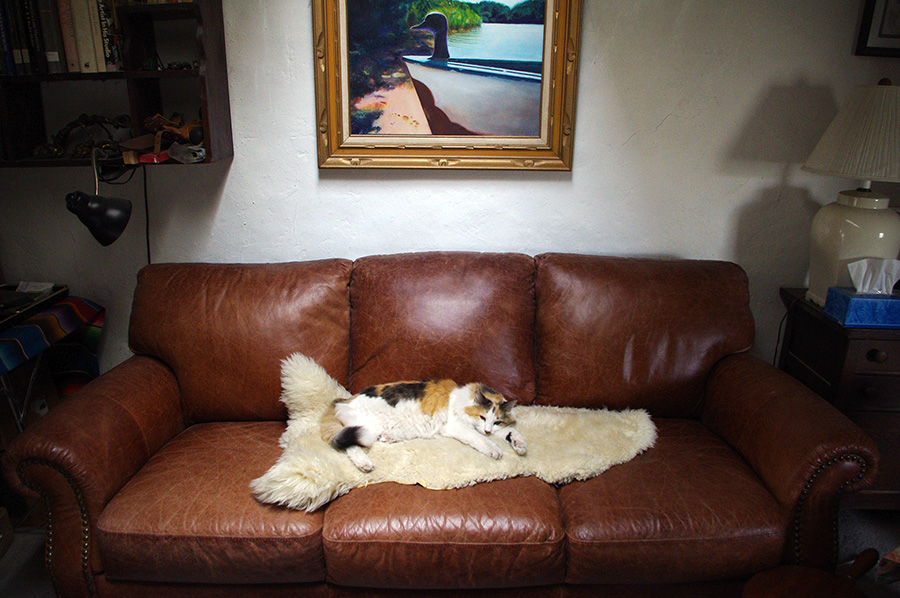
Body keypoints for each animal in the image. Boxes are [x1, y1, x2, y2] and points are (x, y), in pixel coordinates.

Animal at [322, 380, 528, 474]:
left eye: (497, 421)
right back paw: (364, 463)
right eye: (482, 416)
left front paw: (520, 445)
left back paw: (389, 437)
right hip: (365, 429)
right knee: (350, 445)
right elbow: (480, 439)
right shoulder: (456, 426)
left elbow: (511, 431)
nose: (487, 429)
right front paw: (495, 449)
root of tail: (342, 400)